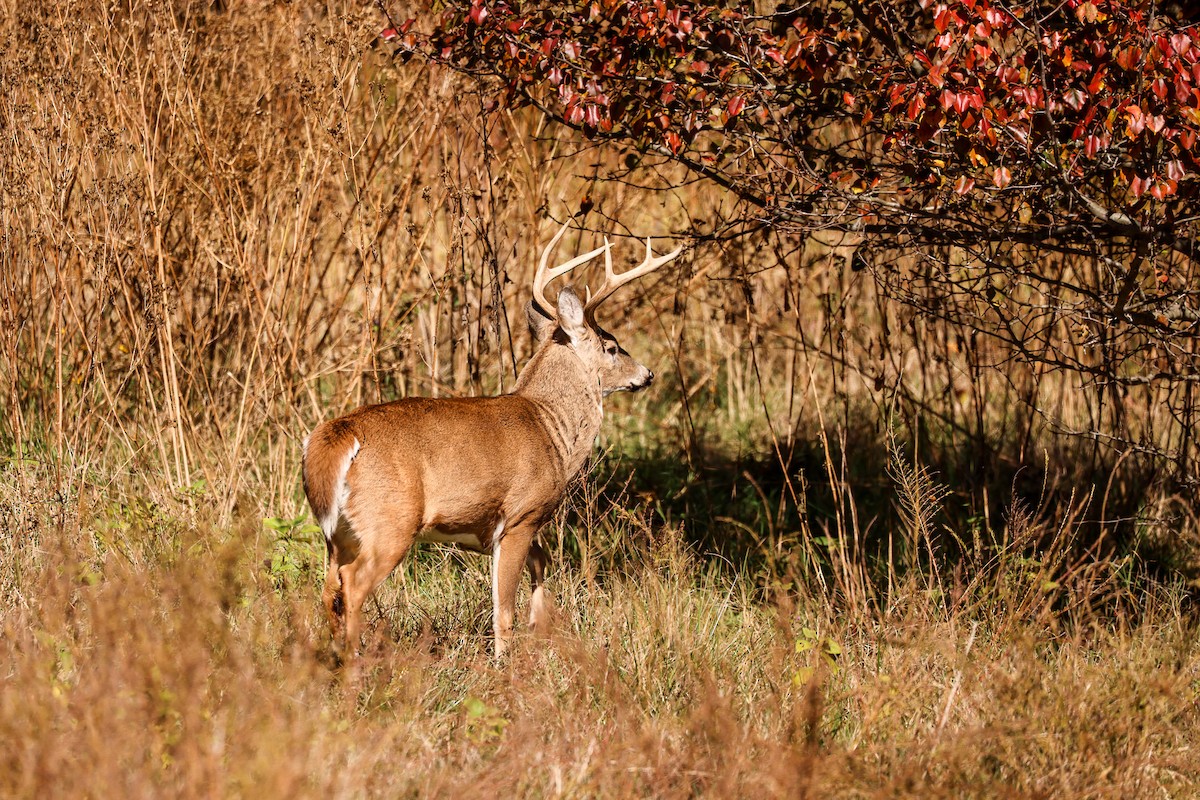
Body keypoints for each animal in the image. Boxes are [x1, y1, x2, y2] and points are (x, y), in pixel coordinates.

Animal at [302, 221, 681, 661]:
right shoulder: (520, 515)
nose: (648, 374)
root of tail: (335, 438)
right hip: (390, 520)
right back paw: (355, 662)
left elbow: (540, 563)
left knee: (329, 589)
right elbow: (504, 606)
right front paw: (506, 661)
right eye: (613, 347)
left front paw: (541, 627)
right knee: (353, 585)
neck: (551, 428)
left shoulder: (494, 532)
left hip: (339, 533)